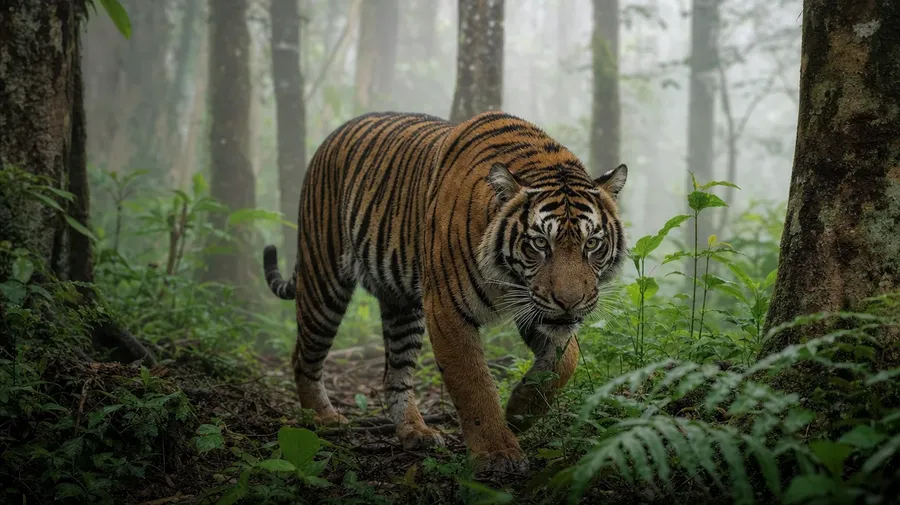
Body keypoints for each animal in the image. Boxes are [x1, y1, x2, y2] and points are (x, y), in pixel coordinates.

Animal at [263, 110, 627, 473]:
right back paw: (323, 418)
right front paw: (497, 452)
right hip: (323, 279)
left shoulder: (534, 305)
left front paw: (519, 411)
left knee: (394, 373)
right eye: (540, 243)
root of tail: (334, 135)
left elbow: (565, 361)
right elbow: (474, 383)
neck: (508, 279)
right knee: (303, 356)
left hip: (402, 306)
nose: (570, 303)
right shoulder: (447, 308)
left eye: (591, 244)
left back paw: (416, 432)